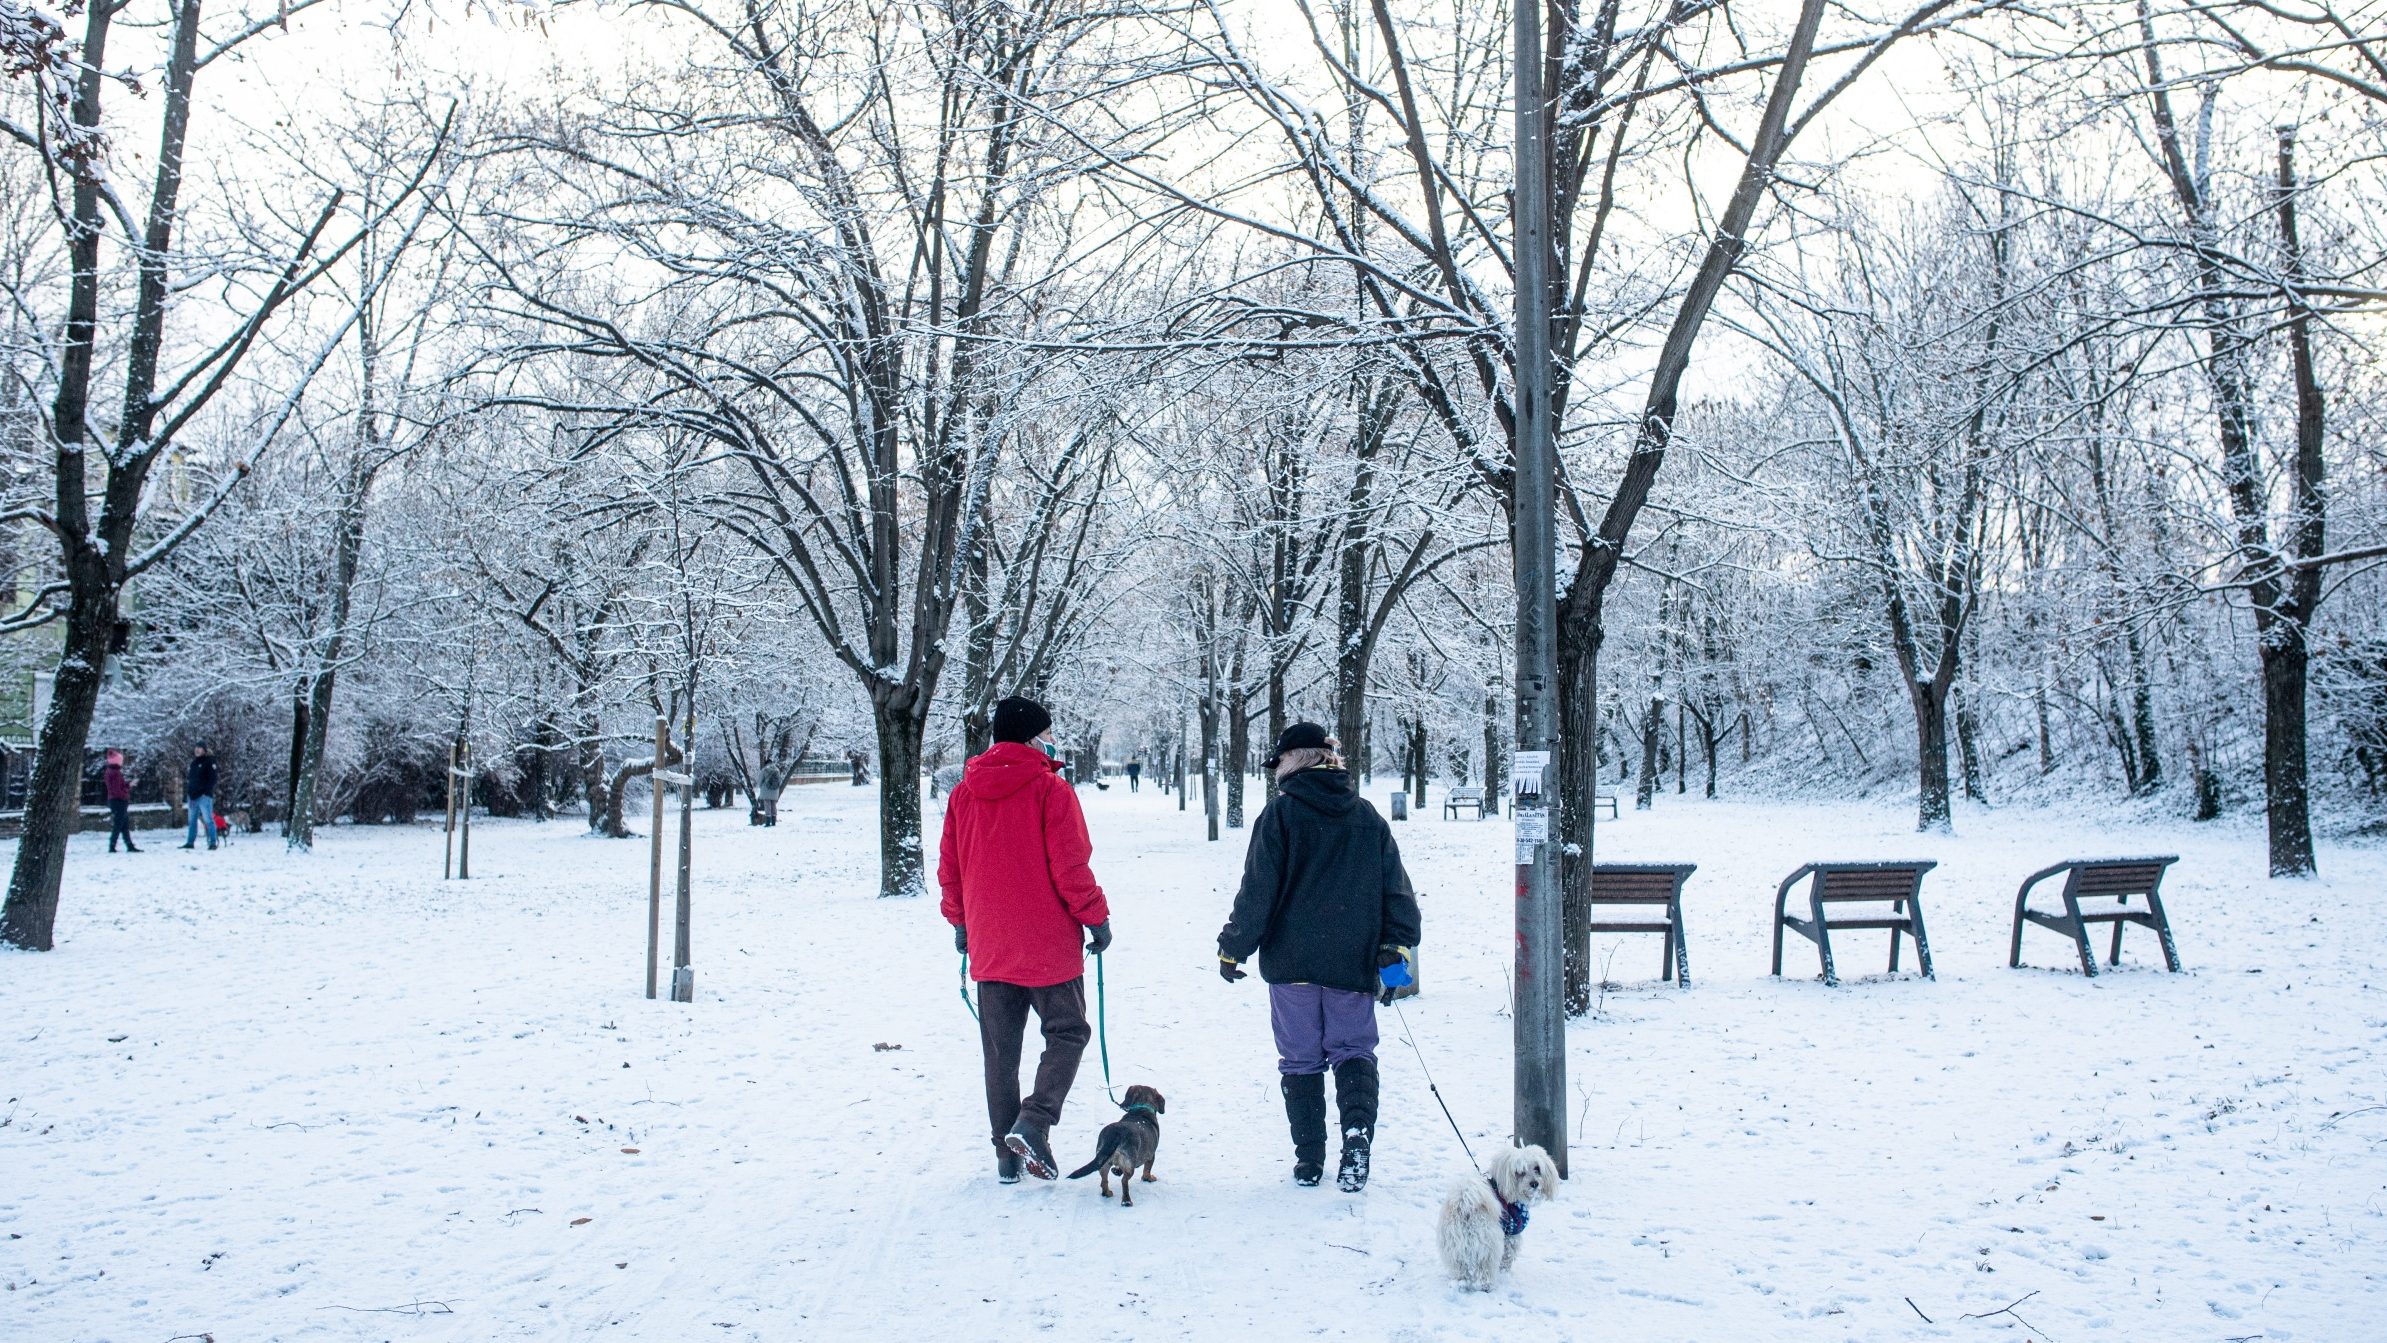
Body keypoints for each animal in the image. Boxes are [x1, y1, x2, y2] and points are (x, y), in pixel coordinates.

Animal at [1432, 1145, 1565, 1288]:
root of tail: (1464, 1206)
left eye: (1537, 1168)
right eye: (1520, 1172)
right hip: (1488, 1247)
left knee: (1460, 1270)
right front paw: (1504, 1272)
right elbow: (1508, 1257)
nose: (1534, 1183)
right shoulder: (1511, 1234)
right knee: (1484, 1272)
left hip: (1455, 1249)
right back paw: (1487, 1285)